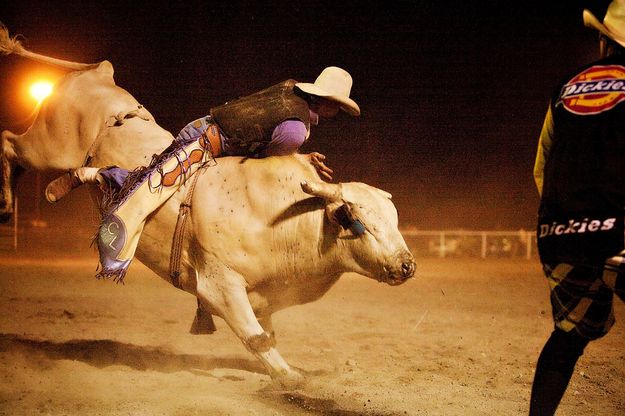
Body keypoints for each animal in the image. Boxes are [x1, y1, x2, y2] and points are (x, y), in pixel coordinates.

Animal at [3, 25, 420, 386]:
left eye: (394, 219)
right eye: (352, 217)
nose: (407, 265)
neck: (285, 217)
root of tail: (98, 75)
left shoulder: (264, 295)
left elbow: (266, 334)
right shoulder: (220, 284)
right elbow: (255, 338)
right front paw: (293, 380)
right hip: (47, 145)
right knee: (10, 142)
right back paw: (10, 203)